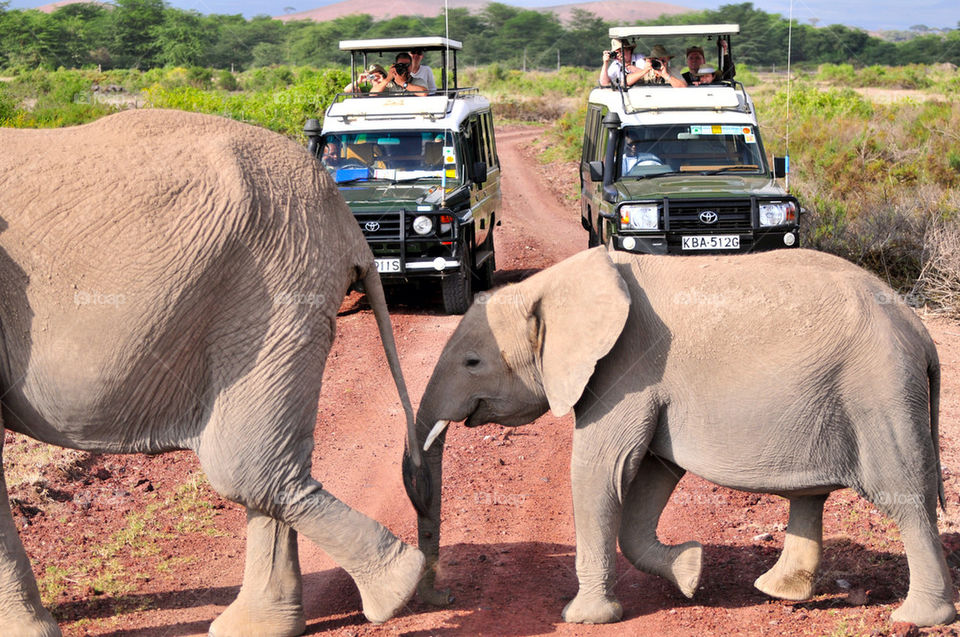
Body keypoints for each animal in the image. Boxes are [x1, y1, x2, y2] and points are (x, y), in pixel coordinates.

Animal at [404, 246, 955, 626]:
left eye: (472, 362)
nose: (444, 597)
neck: (556, 282)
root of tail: (920, 332)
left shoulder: (627, 368)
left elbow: (599, 471)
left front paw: (584, 619)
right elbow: (649, 473)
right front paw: (691, 572)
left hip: (879, 393)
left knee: (905, 498)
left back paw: (917, 618)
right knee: (813, 494)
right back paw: (778, 592)